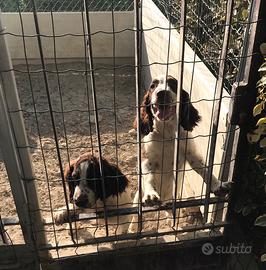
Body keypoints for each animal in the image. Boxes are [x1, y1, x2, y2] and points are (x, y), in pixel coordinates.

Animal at [129, 75, 231, 231]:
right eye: (153, 86)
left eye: (173, 84)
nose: (161, 93)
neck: (168, 134)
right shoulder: (147, 161)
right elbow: (149, 178)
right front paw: (151, 194)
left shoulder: (192, 155)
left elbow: (205, 170)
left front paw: (217, 185)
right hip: (137, 201)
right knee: (136, 217)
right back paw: (133, 229)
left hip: (172, 203)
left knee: (171, 214)